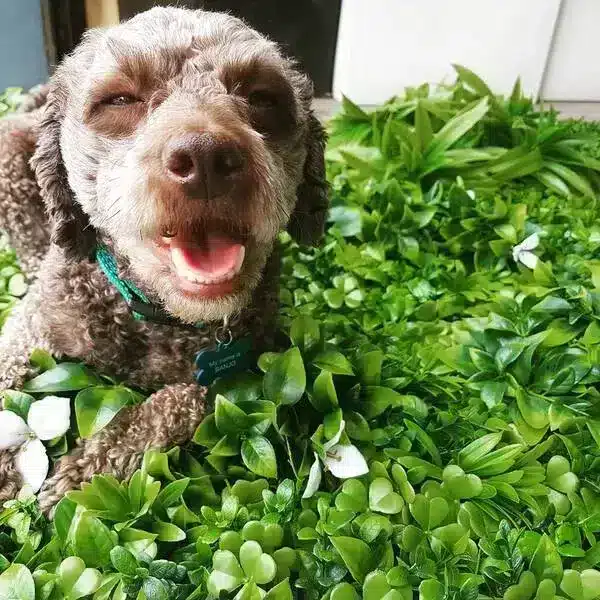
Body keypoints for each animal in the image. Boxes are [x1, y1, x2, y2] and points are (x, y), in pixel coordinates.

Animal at [0, 5, 326, 510]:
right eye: (119, 99)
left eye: (261, 96)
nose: (206, 158)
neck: (153, 316)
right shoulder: (32, 322)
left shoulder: (234, 380)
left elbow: (170, 406)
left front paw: (80, 479)